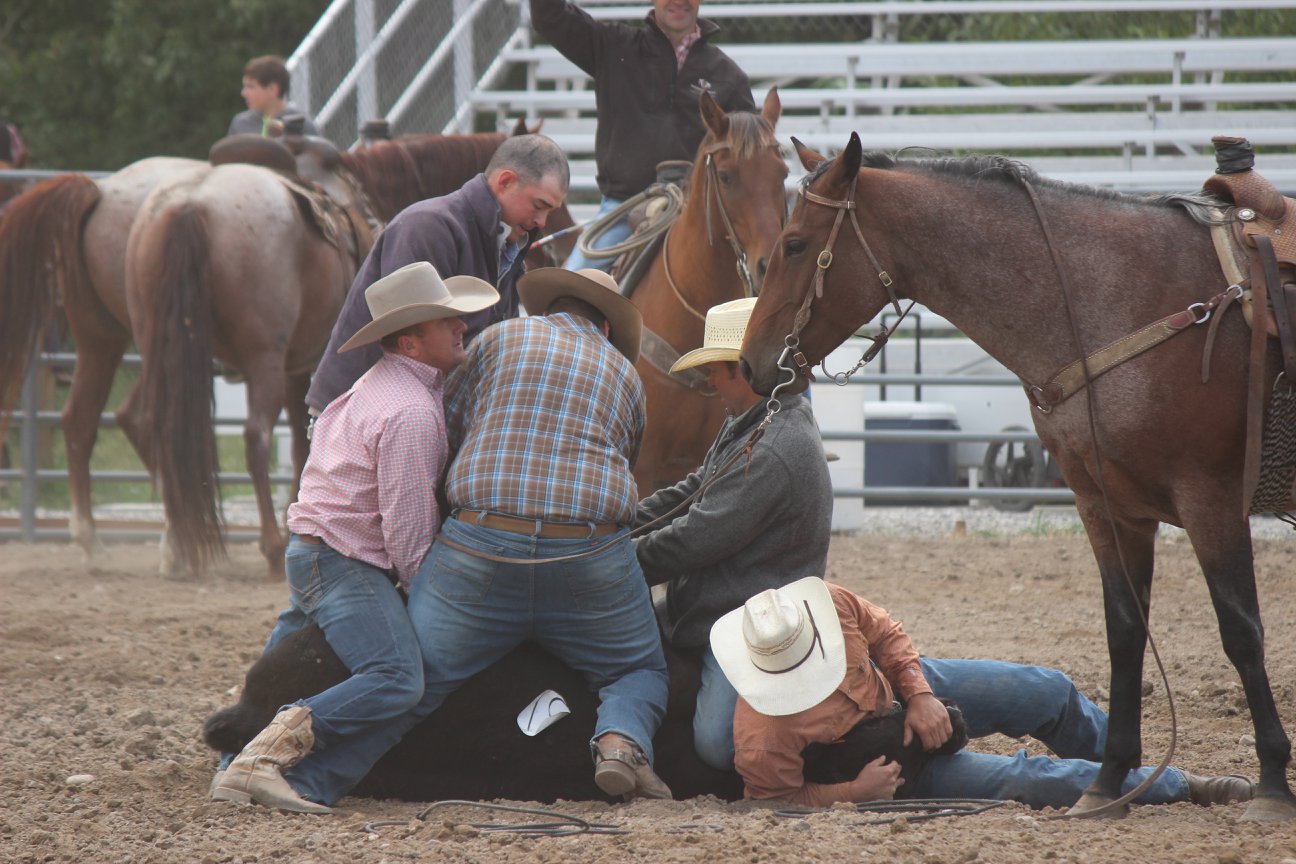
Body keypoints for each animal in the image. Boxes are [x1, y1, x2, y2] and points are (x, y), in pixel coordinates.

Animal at [0, 128, 572, 577]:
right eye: (554, 204)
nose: (557, 246)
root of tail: (186, 203)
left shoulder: (300, 365)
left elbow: (305, 443)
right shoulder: (300, 364)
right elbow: (299, 445)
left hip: (117, 337)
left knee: (101, 420)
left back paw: (127, 543)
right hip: (255, 355)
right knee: (246, 435)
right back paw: (264, 546)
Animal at [741, 132, 1296, 823]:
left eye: (794, 245)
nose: (750, 362)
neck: (1119, 297)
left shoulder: (1211, 500)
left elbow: (1242, 631)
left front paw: (1273, 784)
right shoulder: (1108, 506)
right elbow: (1125, 633)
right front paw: (1108, 783)